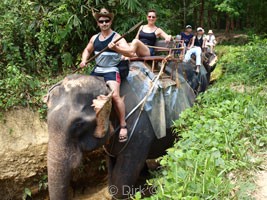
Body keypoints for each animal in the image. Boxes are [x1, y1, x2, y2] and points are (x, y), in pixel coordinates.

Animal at [45, 55, 215, 198]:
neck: (106, 85)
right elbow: (111, 163)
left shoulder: (139, 131)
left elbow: (124, 177)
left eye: (79, 124)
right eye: (47, 121)